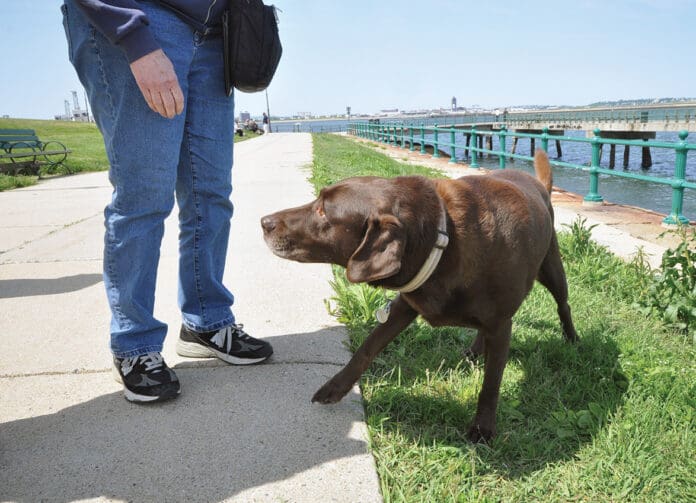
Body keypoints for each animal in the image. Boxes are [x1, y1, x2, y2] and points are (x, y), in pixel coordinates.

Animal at [260, 150, 576, 440]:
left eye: (323, 211)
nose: (264, 222)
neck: (443, 239)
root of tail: (539, 185)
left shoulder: (500, 324)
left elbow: (491, 382)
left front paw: (483, 428)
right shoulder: (405, 304)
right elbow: (367, 347)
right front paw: (335, 387)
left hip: (551, 269)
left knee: (563, 305)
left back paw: (572, 339)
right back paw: (475, 350)